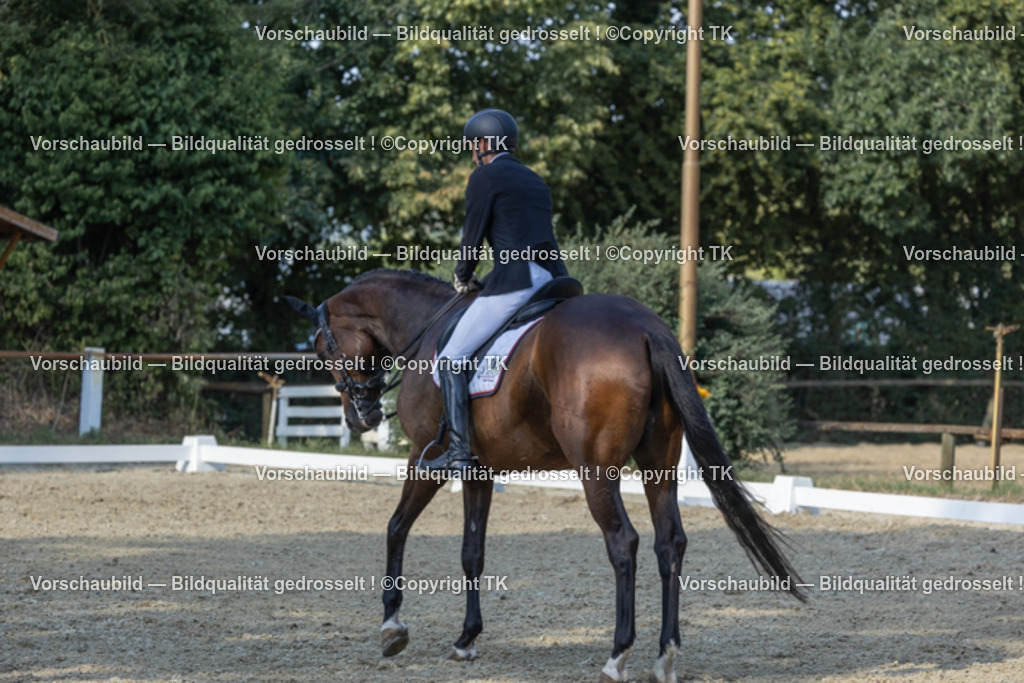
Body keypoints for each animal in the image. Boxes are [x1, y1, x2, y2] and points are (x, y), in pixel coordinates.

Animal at [286, 268, 805, 683]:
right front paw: (466, 639)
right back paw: (665, 656)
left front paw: (392, 627)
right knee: (669, 543)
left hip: (596, 471)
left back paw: (617, 656)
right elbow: (472, 552)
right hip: (658, 464)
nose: (361, 418)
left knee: (623, 542)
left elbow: (396, 527)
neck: (425, 328)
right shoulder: (479, 471)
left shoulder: (423, 459)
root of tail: (645, 327)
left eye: (321, 347)